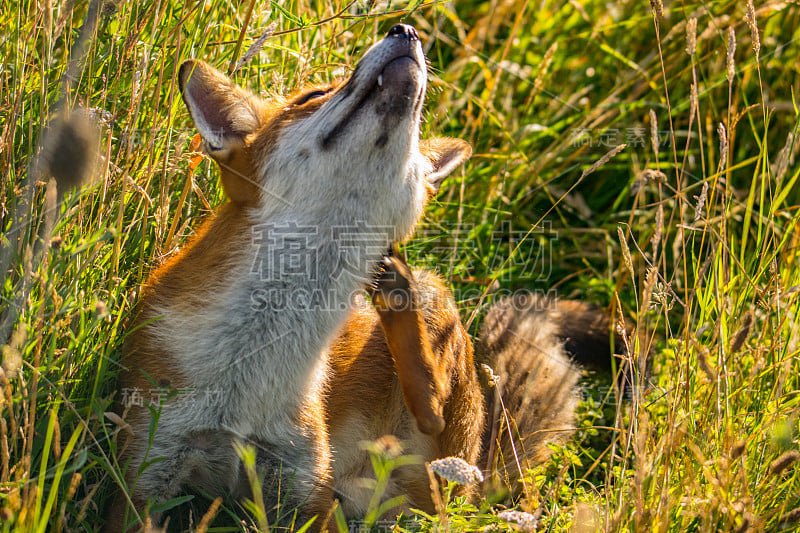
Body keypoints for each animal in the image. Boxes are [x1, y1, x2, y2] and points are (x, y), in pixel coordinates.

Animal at [105, 22, 468, 528]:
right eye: (313, 95)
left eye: (415, 137)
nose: (406, 29)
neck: (248, 376)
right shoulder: (147, 464)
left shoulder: (304, 483)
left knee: (433, 422)